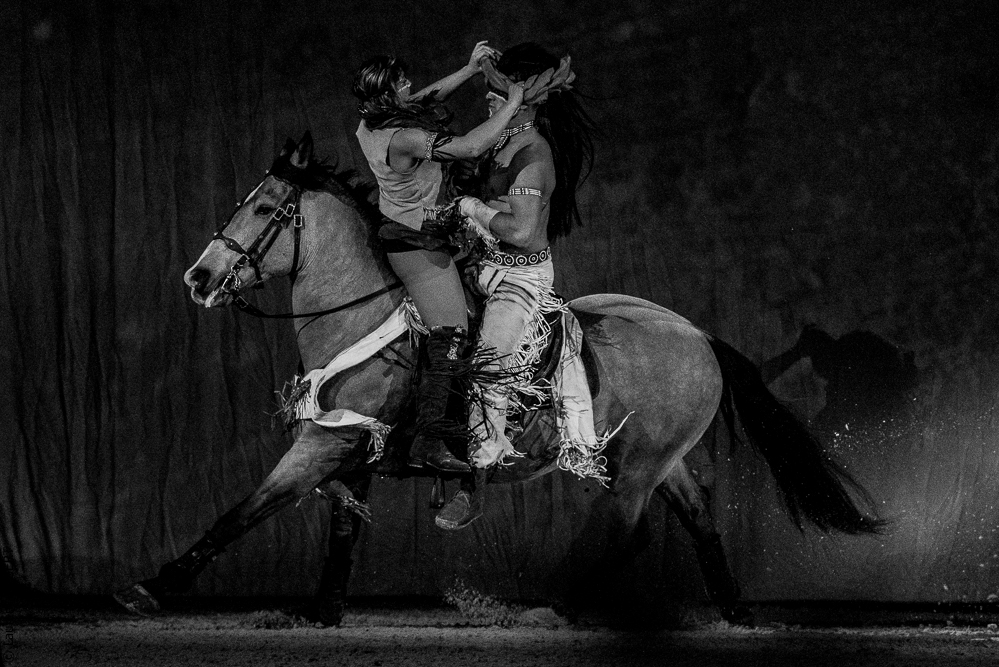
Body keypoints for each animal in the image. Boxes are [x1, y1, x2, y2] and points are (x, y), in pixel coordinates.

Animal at [113, 132, 883, 626]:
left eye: (266, 209)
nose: (200, 277)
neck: (366, 311)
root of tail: (698, 335)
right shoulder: (349, 441)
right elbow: (341, 529)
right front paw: (324, 610)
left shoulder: (322, 444)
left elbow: (244, 508)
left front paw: (153, 586)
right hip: (660, 458)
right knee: (697, 517)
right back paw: (733, 607)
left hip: (636, 466)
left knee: (627, 531)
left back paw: (562, 605)